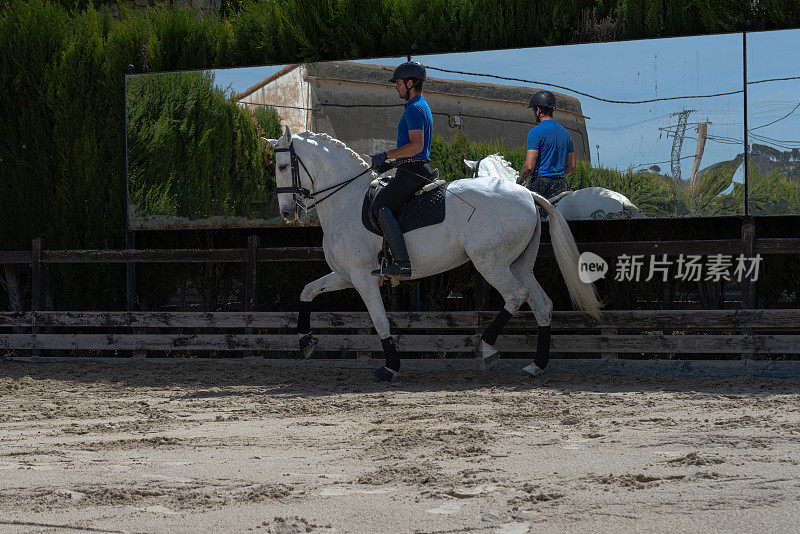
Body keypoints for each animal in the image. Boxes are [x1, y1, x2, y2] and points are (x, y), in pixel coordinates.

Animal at [268, 127, 600, 384]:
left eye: (283, 166)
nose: (286, 212)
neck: (345, 201)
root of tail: (526, 194)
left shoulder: (363, 278)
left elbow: (380, 321)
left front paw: (390, 368)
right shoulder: (345, 275)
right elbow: (308, 291)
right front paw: (305, 341)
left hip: (490, 263)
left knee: (516, 296)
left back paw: (488, 349)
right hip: (519, 265)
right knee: (542, 305)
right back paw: (535, 366)